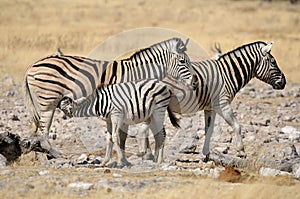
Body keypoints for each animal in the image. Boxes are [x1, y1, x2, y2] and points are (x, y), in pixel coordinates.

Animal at [24, 37, 197, 159]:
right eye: (183, 62)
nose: (195, 82)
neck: (140, 73)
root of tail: (32, 66)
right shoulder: (129, 101)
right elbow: (127, 133)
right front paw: (141, 154)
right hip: (48, 101)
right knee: (44, 131)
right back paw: (56, 154)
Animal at [131, 40, 286, 160]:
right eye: (273, 62)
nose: (284, 82)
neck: (226, 74)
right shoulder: (222, 104)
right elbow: (237, 126)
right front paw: (241, 151)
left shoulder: (210, 108)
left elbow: (209, 130)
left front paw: (206, 153)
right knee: (143, 130)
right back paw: (148, 155)